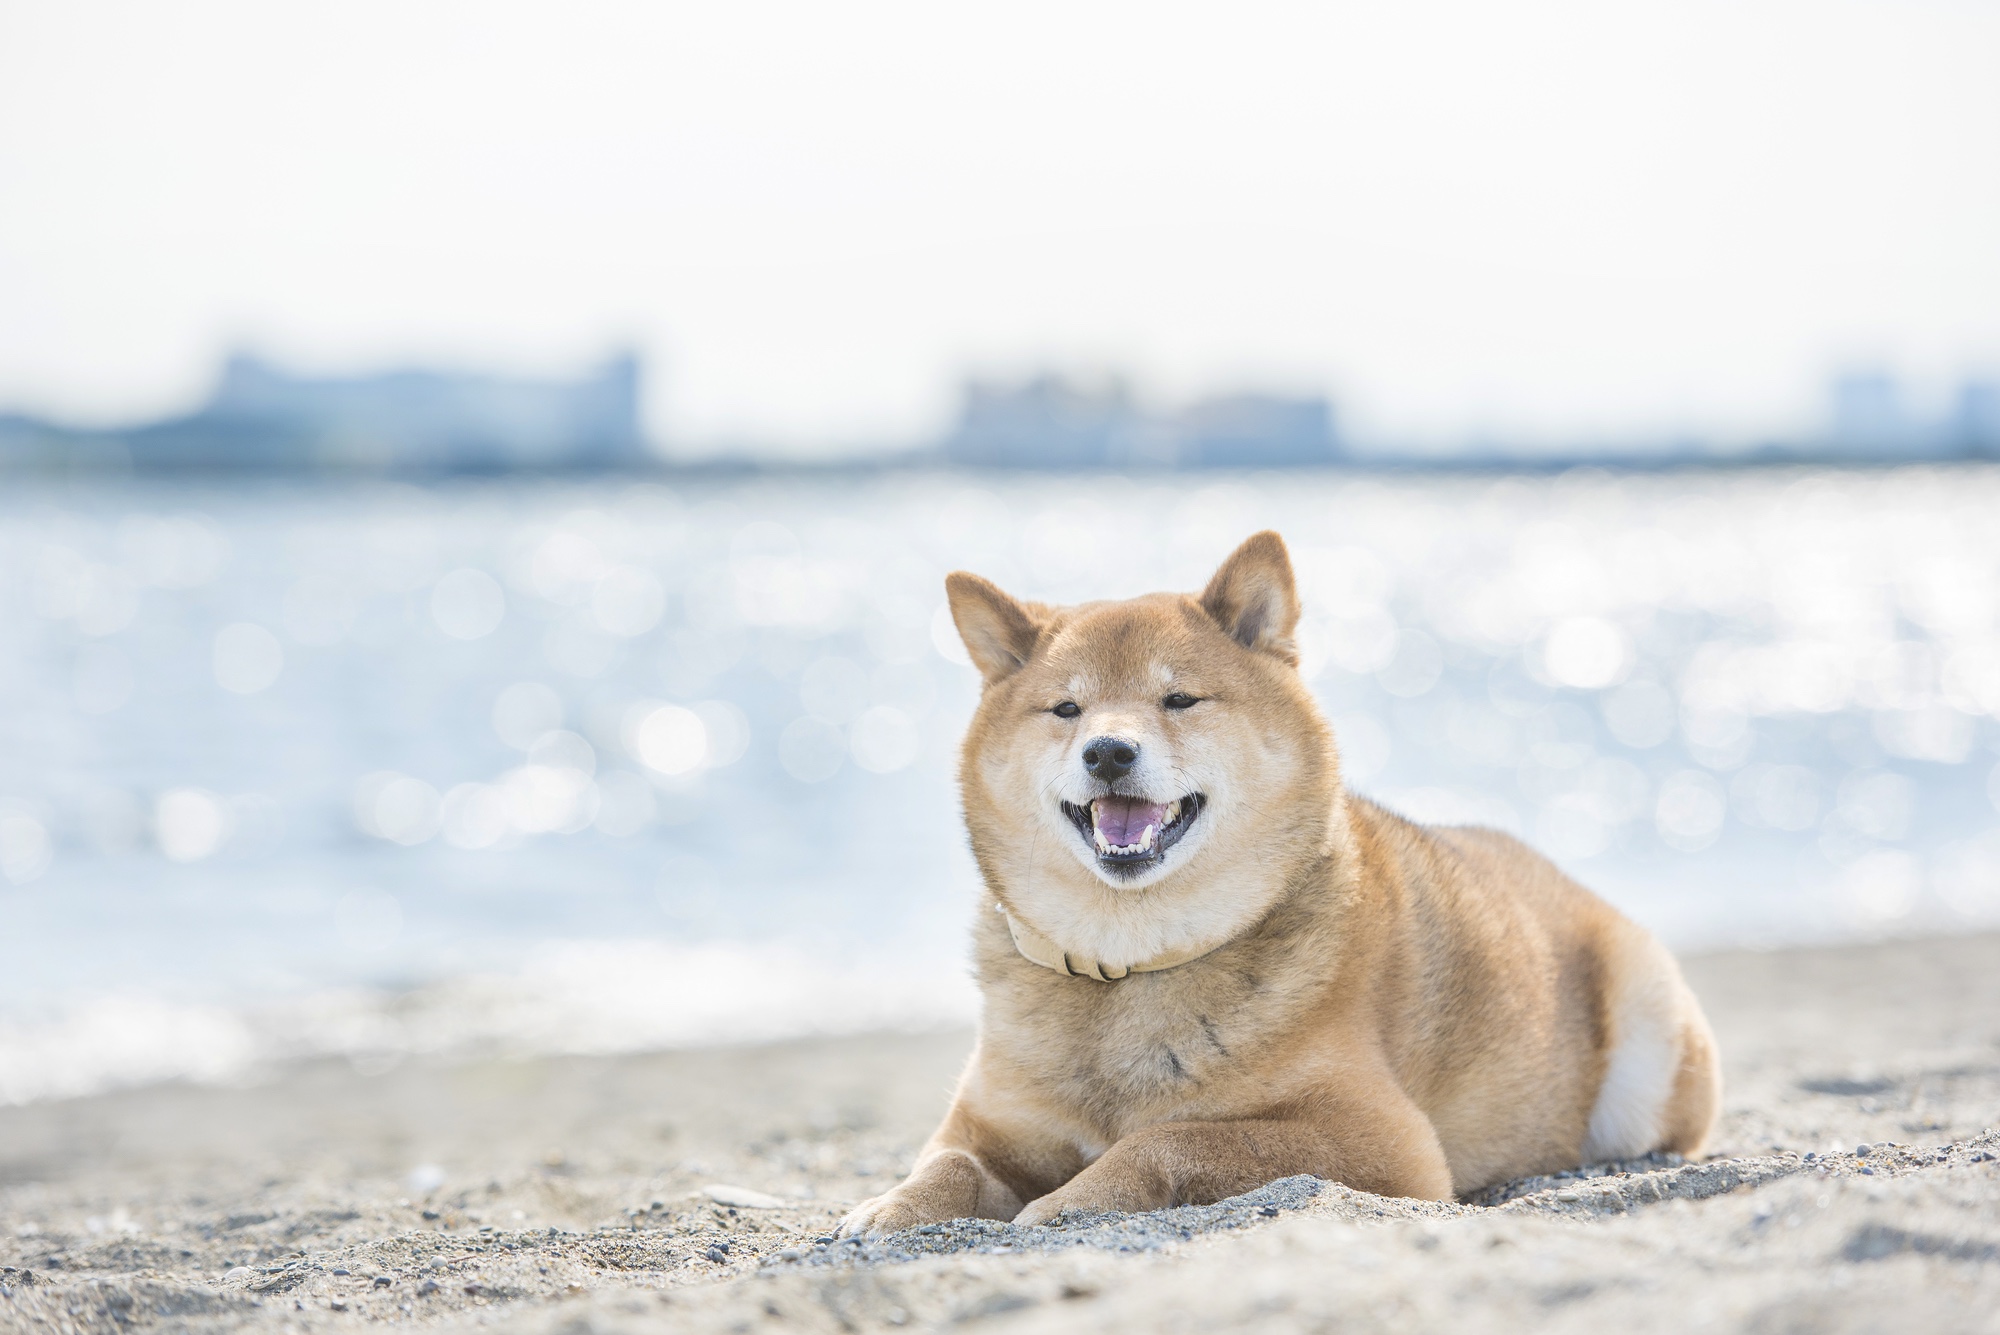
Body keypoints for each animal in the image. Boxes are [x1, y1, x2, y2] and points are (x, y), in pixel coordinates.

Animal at [840, 527, 1720, 1239]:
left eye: (1179, 698)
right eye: (1065, 709)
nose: (1108, 751)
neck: (1128, 967)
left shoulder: (1383, 1141)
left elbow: (1173, 1137)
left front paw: (1069, 1198)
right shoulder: (988, 1122)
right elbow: (946, 1163)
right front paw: (888, 1204)